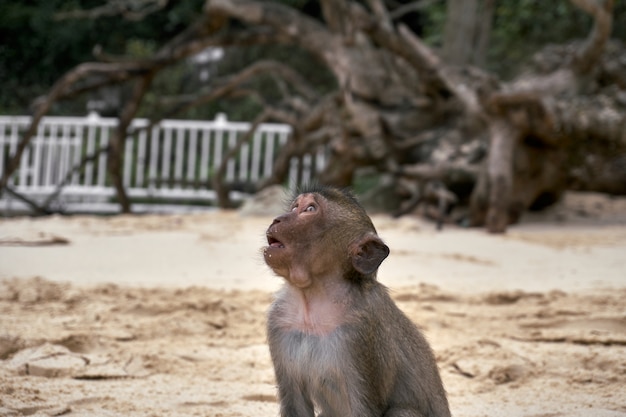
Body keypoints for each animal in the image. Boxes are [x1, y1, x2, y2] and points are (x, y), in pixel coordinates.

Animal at [262, 185, 448, 416]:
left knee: (402, 411)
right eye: (295, 207)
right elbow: (295, 404)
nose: (276, 220)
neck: (313, 303)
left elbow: (364, 407)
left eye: (310, 209)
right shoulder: (279, 320)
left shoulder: (361, 333)